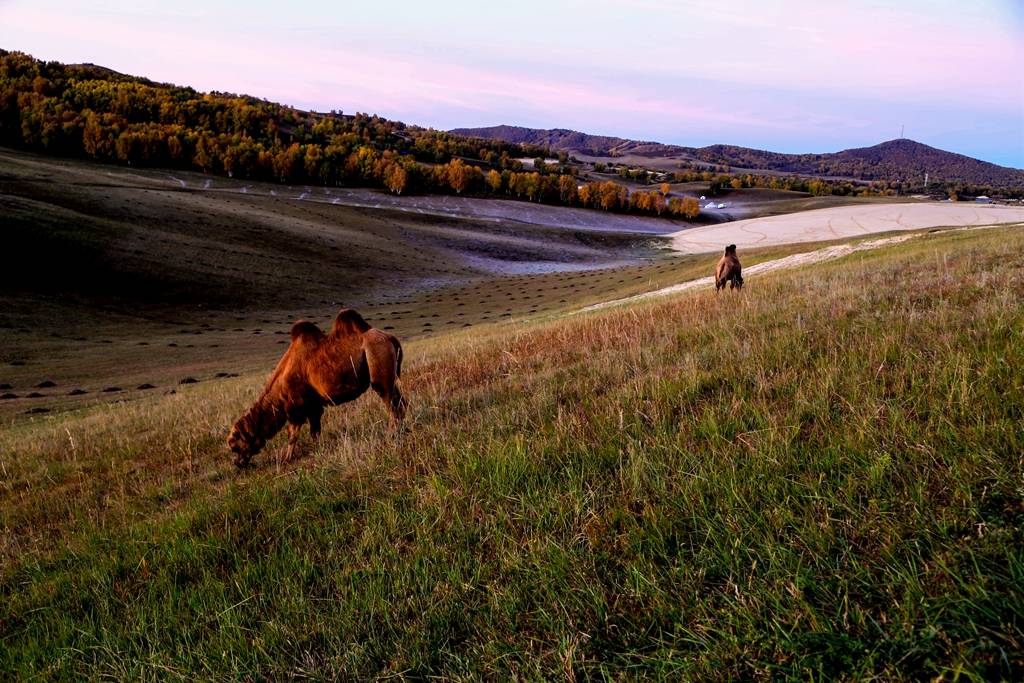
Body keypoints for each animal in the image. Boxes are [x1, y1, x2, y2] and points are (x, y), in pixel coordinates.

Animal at [228, 311, 407, 466]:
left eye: (234, 446)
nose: (237, 463)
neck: (279, 391)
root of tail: (390, 337)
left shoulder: (297, 406)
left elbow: (293, 434)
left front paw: (287, 458)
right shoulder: (314, 405)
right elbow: (315, 431)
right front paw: (318, 449)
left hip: (377, 359)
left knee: (389, 400)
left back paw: (392, 433)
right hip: (390, 372)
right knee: (400, 401)